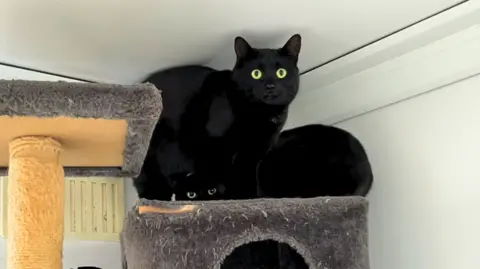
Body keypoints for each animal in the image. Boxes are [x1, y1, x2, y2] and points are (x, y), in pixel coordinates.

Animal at [133, 34, 302, 199]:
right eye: (256, 73)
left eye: (281, 72)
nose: (270, 86)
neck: (260, 114)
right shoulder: (217, 144)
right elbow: (223, 175)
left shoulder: (253, 153)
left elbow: (248, 179)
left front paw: (249, 199)